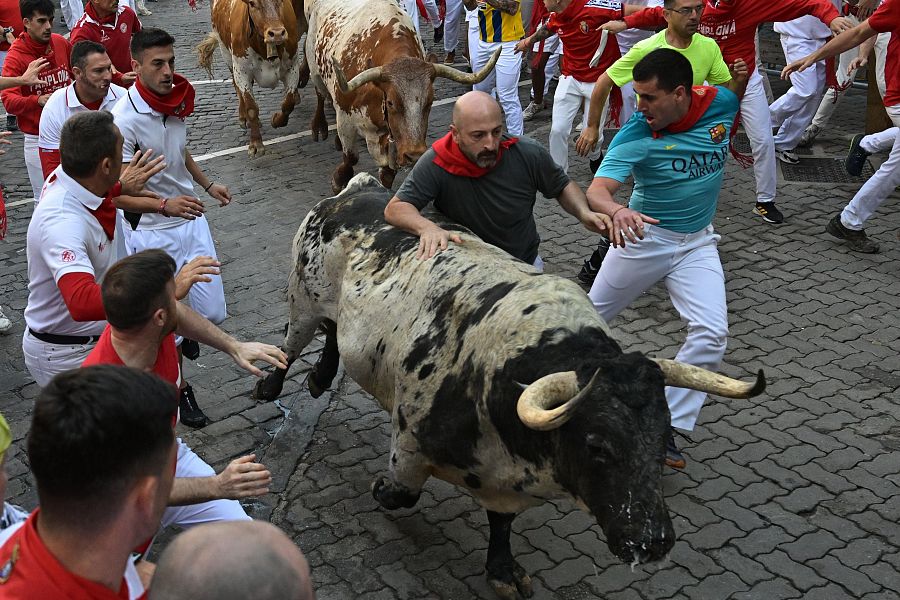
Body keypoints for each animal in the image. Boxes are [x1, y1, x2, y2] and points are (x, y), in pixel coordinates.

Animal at [255, 172, 768, 596]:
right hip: (302, 297)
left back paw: (320, 379)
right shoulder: (410, 443)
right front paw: (381, 490)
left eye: (664, 439)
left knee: (333, 333)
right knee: (293, 343)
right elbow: (400, 493)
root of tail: (357, 189)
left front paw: (501, 569)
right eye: (597, 444)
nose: (653, 539)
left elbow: (500, 524)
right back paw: (274, 385)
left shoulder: (504, 481)